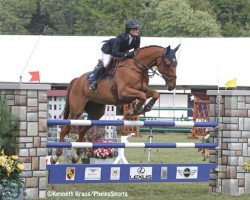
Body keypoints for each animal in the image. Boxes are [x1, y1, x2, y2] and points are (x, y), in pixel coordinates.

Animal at [50, 44, 180, 163]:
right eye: (167, 64)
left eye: (176, 64)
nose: (172, 86)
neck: (137, 67)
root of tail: (76, 80)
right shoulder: (124, 92)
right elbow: (142, 96)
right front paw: (133, 111)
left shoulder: (143, 90)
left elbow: (155, 94)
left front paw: (144, 108)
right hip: (77, 109)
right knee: (65, 128)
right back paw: (56, 155)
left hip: (96, 112)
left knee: (83, 129)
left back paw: (77, 155)